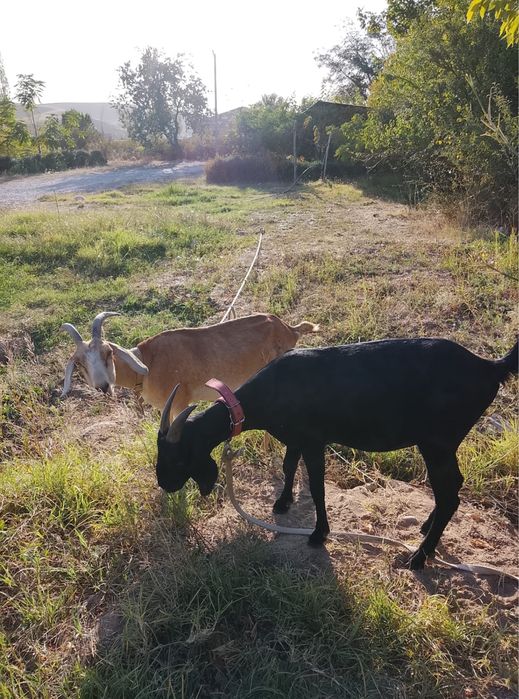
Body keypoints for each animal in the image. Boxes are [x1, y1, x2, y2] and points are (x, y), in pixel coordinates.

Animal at [61, 311, 319, 415]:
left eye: (107, 353)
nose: (103, 386)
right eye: (80, 363)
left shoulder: (179, 403)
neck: (148, 365)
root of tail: (289, 329)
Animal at [155, 337, 518, 570]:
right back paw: (426, 530)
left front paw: (319, 534)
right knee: (452, 487)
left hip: (437, 442)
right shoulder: (295, 438)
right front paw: (282, 503)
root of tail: (489, 367)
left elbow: (317, 486)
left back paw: (419, 557)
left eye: (178, 458)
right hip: (444, 443)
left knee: (449, 494)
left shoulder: (314, 441)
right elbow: (288, 467)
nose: (164, 484)